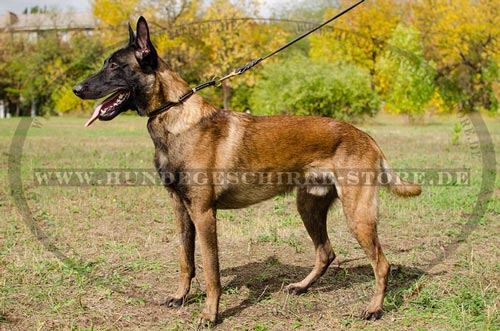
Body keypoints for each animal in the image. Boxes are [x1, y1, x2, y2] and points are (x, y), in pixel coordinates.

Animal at [73, 17, 422, 326]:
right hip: (308, 206)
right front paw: (181, 297)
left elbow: (211, 272)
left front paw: (210, 315)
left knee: (382, 264)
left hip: (357, 215)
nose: (76, 88)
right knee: (327, 252)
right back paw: (302, 286)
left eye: (114, 66)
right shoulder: (181, 209)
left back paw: (374, 308)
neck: (175, 116)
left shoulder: (204, 213)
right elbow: (186, 261)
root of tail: (366, 136)